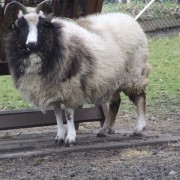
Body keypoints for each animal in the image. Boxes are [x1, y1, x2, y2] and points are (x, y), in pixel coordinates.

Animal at [4, 0, 150, 146]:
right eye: (21, 26)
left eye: (41, 25)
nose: (31, 44)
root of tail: (130, 19)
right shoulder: (52, 89)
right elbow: (57, 113)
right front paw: (59, 137)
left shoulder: (70, 87)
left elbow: (68, 114)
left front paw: (70, 138)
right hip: (113, 78)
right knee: (115, 102)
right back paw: (105, 129)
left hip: (134, 73)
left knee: (140, 97)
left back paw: (139, 128)